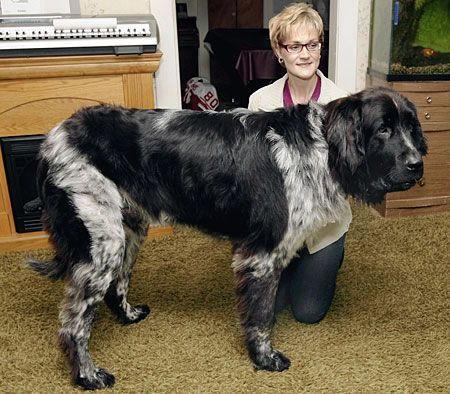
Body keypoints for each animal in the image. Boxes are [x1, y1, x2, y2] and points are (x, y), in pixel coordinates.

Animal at [30, 87, 426, 388]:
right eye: (383, 129)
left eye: (411, 127)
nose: (417, 164)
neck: (317, 147)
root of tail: (54, 137)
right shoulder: (262, 254)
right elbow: (261, 315)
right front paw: (265, 359)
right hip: (103, 240)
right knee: (73, 324)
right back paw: (88, 376)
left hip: (128, 228)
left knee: (118, 285)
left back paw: (128, 316)